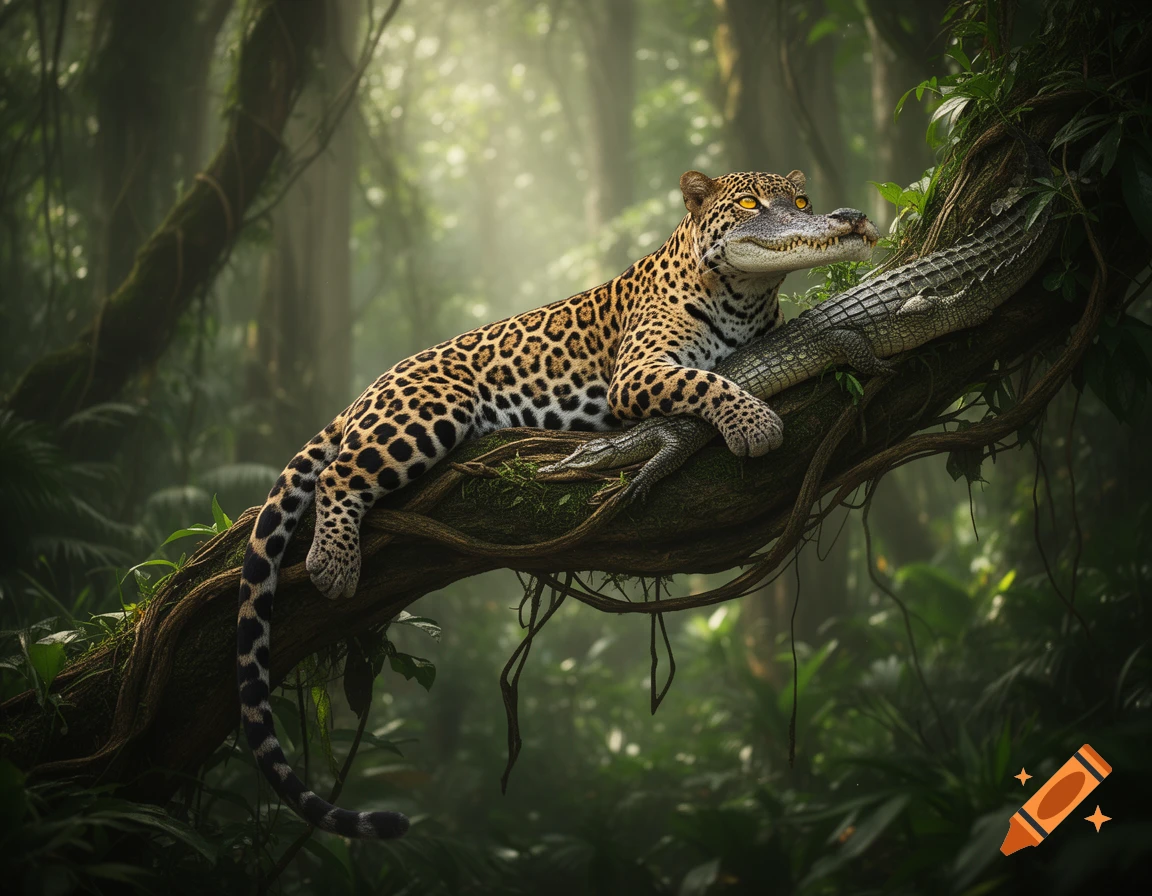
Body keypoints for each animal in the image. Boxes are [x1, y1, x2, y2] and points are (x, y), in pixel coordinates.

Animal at [236, 167, 879, 838]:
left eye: (800, 201)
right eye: (752, 203)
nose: (846, 217)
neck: (745, 300)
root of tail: (371, 387)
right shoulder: (638, 372)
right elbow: (708, 380)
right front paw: (755, 424)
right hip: (428, 411)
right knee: (337, 474)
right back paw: (333, 563)